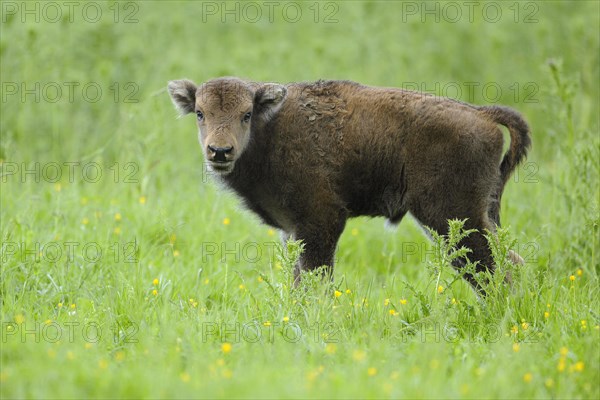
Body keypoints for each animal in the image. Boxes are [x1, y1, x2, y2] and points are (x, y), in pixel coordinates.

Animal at [168, 77, 528, 290]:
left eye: (246, 114)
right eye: (200, 113)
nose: (219, 151)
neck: (270, 129)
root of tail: (482, 114)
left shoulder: (321, 221)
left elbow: (315, 280)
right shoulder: (293, 229)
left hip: (453, 217)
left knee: (492, 267)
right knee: (508, 260)